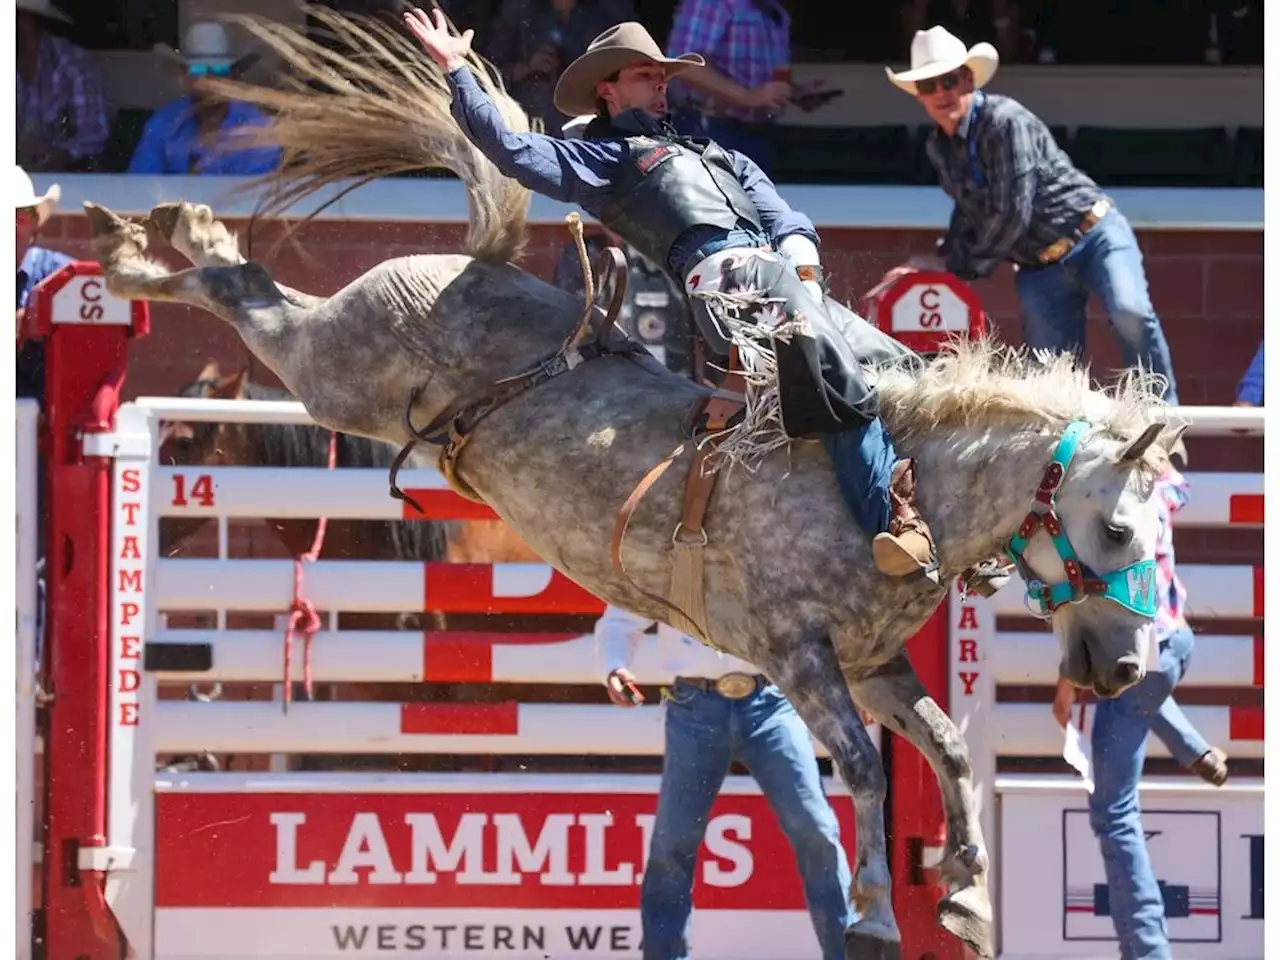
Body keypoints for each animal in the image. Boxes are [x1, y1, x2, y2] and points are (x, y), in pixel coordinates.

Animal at [82, 9, 1187, 960]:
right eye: (1119, 533)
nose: (1127, 670)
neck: (899, 484)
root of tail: (474, 266)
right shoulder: (797, 654)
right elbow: (867, 767)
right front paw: (878, 914)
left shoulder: (873, 664)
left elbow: (948, 747)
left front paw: (963, 894)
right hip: (334, 370)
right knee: (256, 305)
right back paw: (137, 254)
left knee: (265, 294)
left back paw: (169, 236)